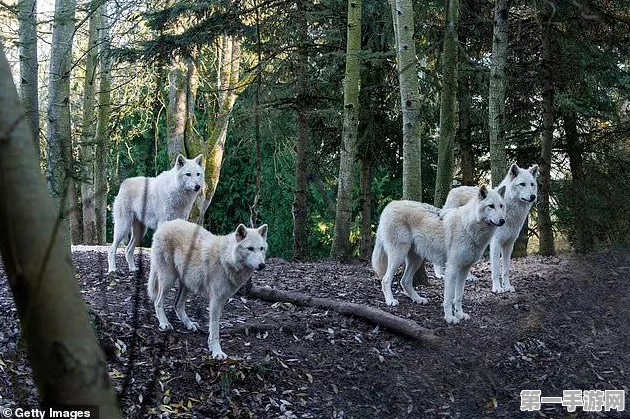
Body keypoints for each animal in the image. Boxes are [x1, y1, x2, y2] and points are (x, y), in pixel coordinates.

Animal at [148, 220, 270, 360]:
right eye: (250, 248)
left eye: (261, 248)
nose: (262, 265)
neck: (225, 259)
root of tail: (165, 224)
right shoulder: (215, 301)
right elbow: (215, 329)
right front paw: (217, 352)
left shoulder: (222, 300)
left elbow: (213, 329)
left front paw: (211, 347)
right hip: (168, 279)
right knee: (158, 302)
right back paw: (164, 323)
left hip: (187, 284)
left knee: (177, 305)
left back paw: (189, 324)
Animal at [376, 187, 508, 324]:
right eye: (491, 206)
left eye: (501, 206)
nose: (502, 221)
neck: (468, 227)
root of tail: (390, 205)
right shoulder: (452, 269)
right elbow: (449, 298)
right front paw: (450, 318)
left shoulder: (464, 270)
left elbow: (459, 296)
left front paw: (460, 314)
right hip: (398, 256)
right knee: (386, 279)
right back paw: (390, 301)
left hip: (416, 260)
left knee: (404, 281)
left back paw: (418, 299)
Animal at [440, 162, 540, 294]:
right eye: (522, 184)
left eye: (532, 184)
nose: (533, 196)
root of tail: (453, 189)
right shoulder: (496, 243)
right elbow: (496, 270)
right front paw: (497, 288)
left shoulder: (509, 244)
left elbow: (506, 270)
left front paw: (507, 287)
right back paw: (442, 275)